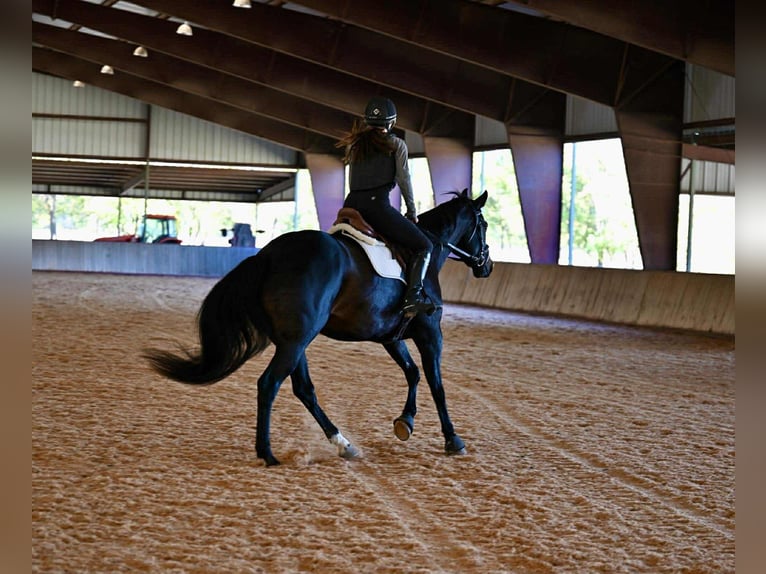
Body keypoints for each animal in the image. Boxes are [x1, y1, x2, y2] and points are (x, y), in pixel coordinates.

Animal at [143, 188, 494, 466]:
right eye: (485, 225)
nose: (487, 267)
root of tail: (268, 255)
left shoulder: (391, 338)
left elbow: (413, 373)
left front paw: (404, 422)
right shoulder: (430, 333)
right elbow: (437, 385)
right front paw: (452, 439)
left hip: (294, 340)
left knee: (303, 389)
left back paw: (343, 444)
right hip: (297, 340)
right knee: (269, 384)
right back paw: (267, 453)